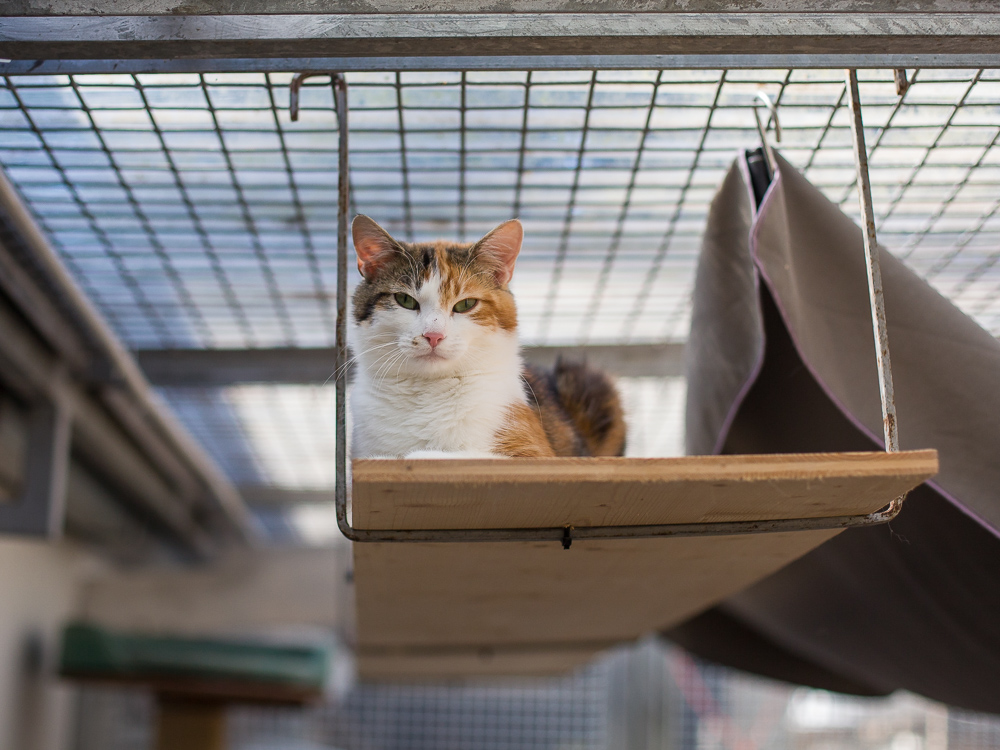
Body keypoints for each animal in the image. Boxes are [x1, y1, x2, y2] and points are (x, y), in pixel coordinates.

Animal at [348, 214, 620, 462]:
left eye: (466, 304)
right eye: (405, 300)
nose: (434, 335)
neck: (427, 393)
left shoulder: (535, 453)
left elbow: (445, 456)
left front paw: (410, 455)